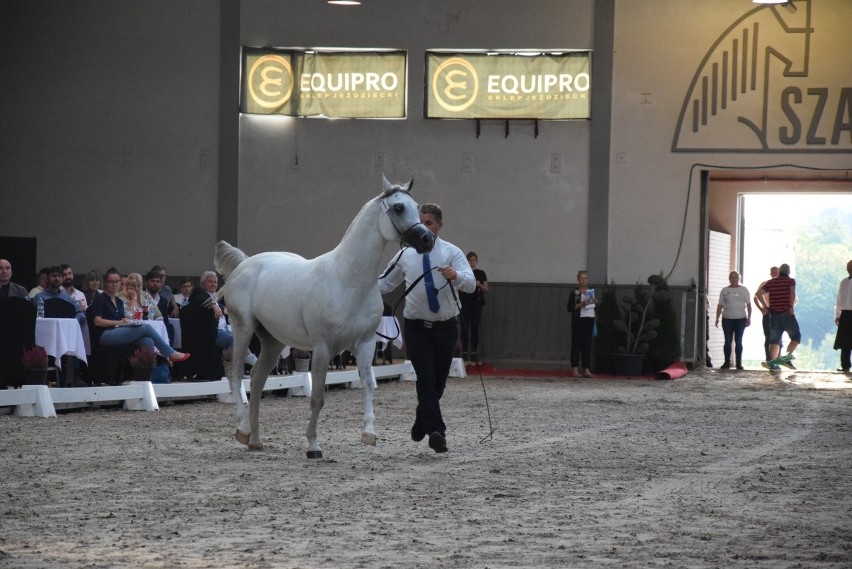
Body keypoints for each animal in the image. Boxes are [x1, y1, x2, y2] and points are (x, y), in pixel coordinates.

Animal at [211, 178, 436, 458]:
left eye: (417, 207)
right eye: (397, 207)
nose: (427, 240)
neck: (347, 281)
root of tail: (245, 264)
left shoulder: (365, 343)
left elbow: (368, 384)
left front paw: (369, 434)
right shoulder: (322, 348)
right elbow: (317, 397)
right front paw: (313, 445)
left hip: (273, 341)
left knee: (257, 379)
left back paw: (256, 440)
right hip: (243, 328)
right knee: (235, 376)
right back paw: (242, 430)